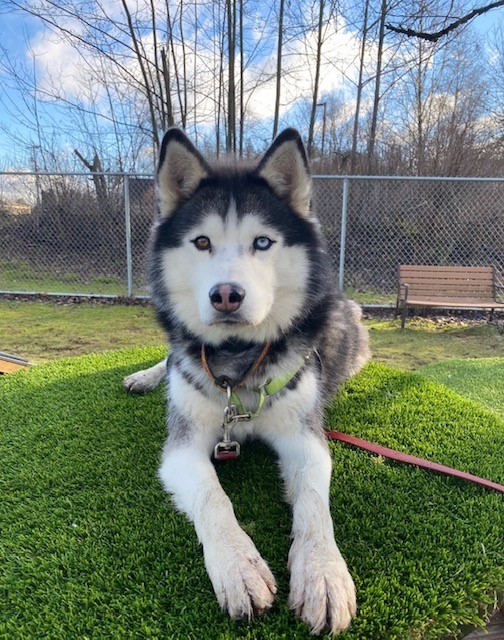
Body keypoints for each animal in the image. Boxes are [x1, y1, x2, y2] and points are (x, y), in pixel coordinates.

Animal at [125, 130, 370, 636]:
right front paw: (238, 566)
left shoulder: (305, 438)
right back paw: (147, 375)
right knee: (170, 355)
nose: (226, 295)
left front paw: (323, 573)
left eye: (262, 242)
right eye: (201, 241)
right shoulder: (181, 448)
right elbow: (213, 499)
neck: (238, 360)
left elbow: (314, 505)